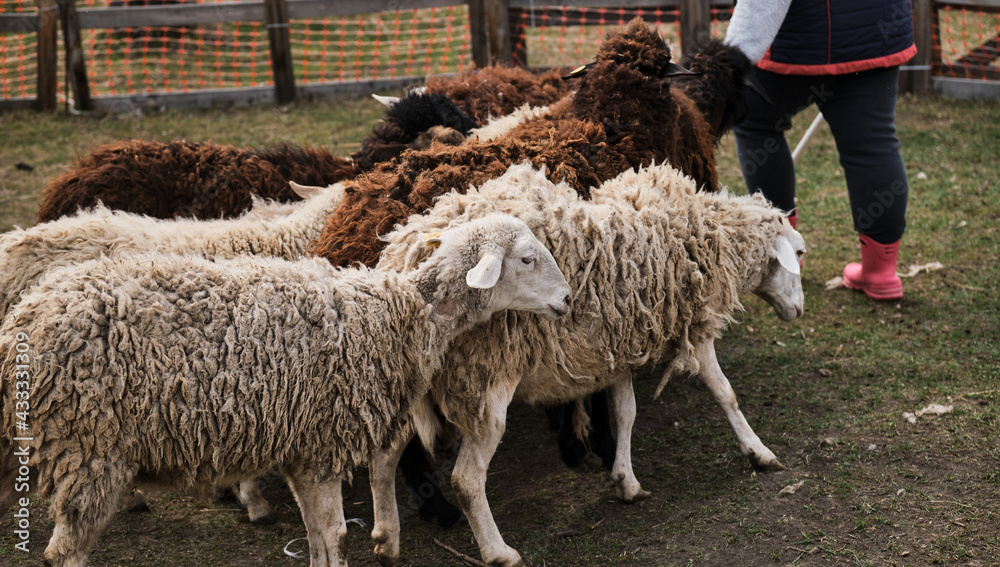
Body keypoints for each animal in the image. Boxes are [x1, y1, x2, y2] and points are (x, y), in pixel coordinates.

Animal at [0, 215, 572, 567]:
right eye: (526, 259)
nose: (568, 299)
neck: (394, 314)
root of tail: (22, 321)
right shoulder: (323, 443)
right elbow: (337, 535)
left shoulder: (300, 448)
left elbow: (318, 538)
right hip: (89, 449)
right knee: (65, 552)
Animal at [368, 162, 804, 564]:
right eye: (797, 253)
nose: (798, 311)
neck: (708, 231)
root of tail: (403, 257)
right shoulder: (693, 327)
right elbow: (724, 392)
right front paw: (759, 452)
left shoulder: (622, 342)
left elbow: (625, 412)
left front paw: (625, 479)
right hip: (483, 379)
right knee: (466, 479)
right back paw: (497, 551)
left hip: (410, 380)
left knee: (384, 456)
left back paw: (387, 540)